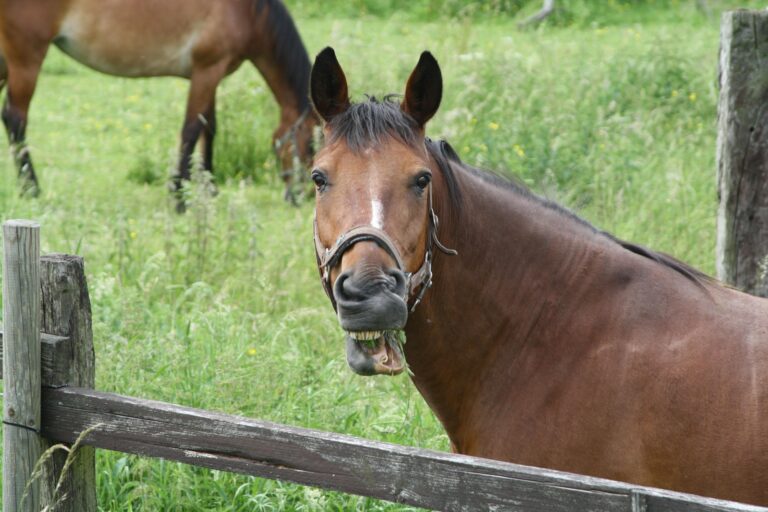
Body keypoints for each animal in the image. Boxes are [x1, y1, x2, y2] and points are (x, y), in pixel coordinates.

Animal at [0, 0, 318, 207]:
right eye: (312, 146)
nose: (300, 197)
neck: (248, 11)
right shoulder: (207, 71)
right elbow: (191, 130)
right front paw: (178, 196)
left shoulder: (211, 75)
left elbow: (209, 129)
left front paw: (208, 189)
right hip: (26, 59)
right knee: (16, 119)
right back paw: (31, 188)